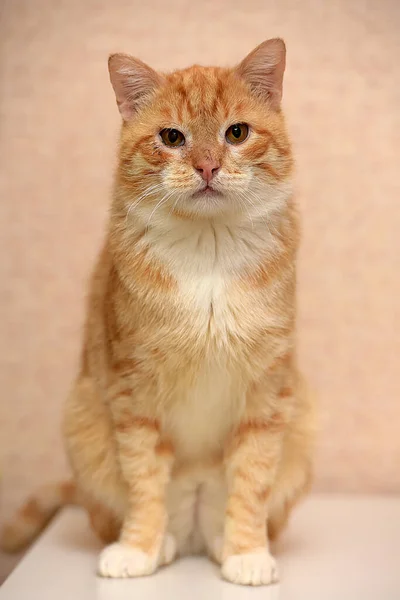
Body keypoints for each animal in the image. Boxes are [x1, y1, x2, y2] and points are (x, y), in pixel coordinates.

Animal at [2, 39, 316, 588]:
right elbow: (144, 479)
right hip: (82, 424)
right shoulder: (134, 390)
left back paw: (219, 540)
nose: (208, 166)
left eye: (237, 132)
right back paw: (162, 542)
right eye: (172, 137)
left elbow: (252, 480)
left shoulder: (267, 392)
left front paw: (247, 553)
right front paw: (138, 548)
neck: (209, 249)